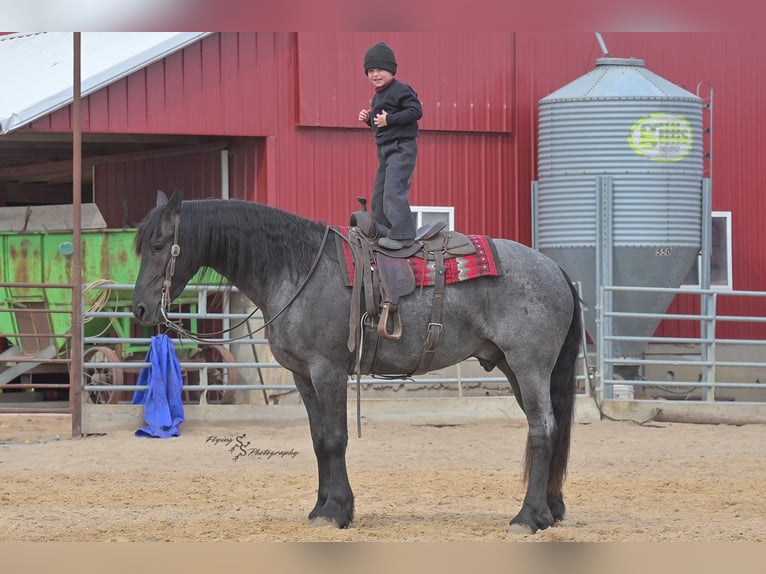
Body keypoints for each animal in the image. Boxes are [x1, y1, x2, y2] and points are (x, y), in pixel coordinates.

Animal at [132, 190, 582, 534]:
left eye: (159, 245)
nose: (140, 309)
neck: (297, 271)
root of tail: (553, 267)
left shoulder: (327, 370)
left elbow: (335, 439)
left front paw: (336, 511)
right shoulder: (302, 376)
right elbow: (318, 441)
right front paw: (321, 507)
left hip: (529, 366)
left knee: (543, 429)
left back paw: (527, 517)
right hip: (515, 368)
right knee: (551, 428)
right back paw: (549, 510)